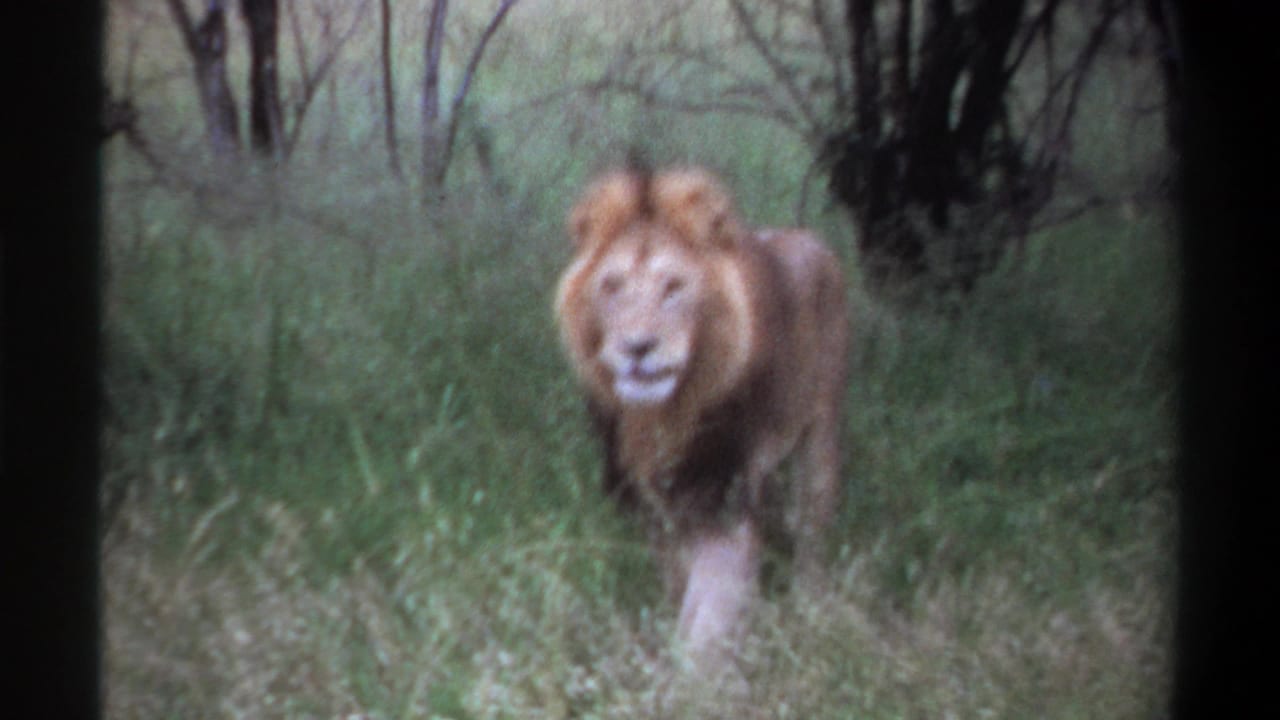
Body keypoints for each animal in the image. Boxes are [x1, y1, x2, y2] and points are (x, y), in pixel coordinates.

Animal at [554, 166, 848, 668]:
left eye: (673, 287)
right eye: (612, 286)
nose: (637, 347)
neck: (663, 416)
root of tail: (807, 237)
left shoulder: (722, 498)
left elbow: (709, 611)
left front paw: (695, 672)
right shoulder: (655, 504)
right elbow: (679, 581)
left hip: (821, 438)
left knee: (811, 532)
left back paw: (811, 609)